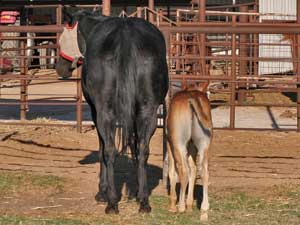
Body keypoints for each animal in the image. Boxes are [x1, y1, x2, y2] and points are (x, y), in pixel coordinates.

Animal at [55, 10, 169, 214]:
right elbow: (135, 146)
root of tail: (126, 33)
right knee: (143, 149)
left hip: (104, 113)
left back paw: (111, 202)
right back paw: (143, 201)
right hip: (148, 111)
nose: (59, 68)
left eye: (61, 38)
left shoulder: (96, 112)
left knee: (109, 149)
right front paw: (136, 190)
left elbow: (102, 150)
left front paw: (102, 192)